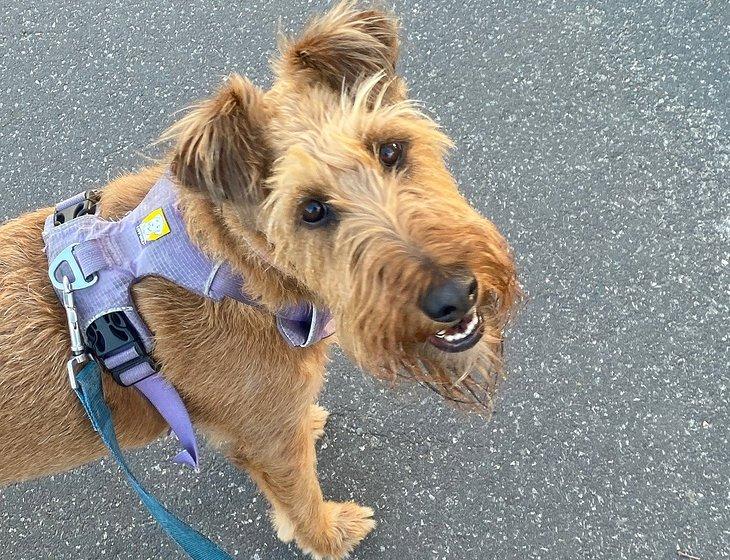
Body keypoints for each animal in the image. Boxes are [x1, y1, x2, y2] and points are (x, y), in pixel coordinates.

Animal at [0, 2, 516, 556]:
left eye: (391, 149)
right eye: (311, 210)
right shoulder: (271, 445)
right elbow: (303, 502)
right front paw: (331, 536)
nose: (455, 296)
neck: (230, 272)